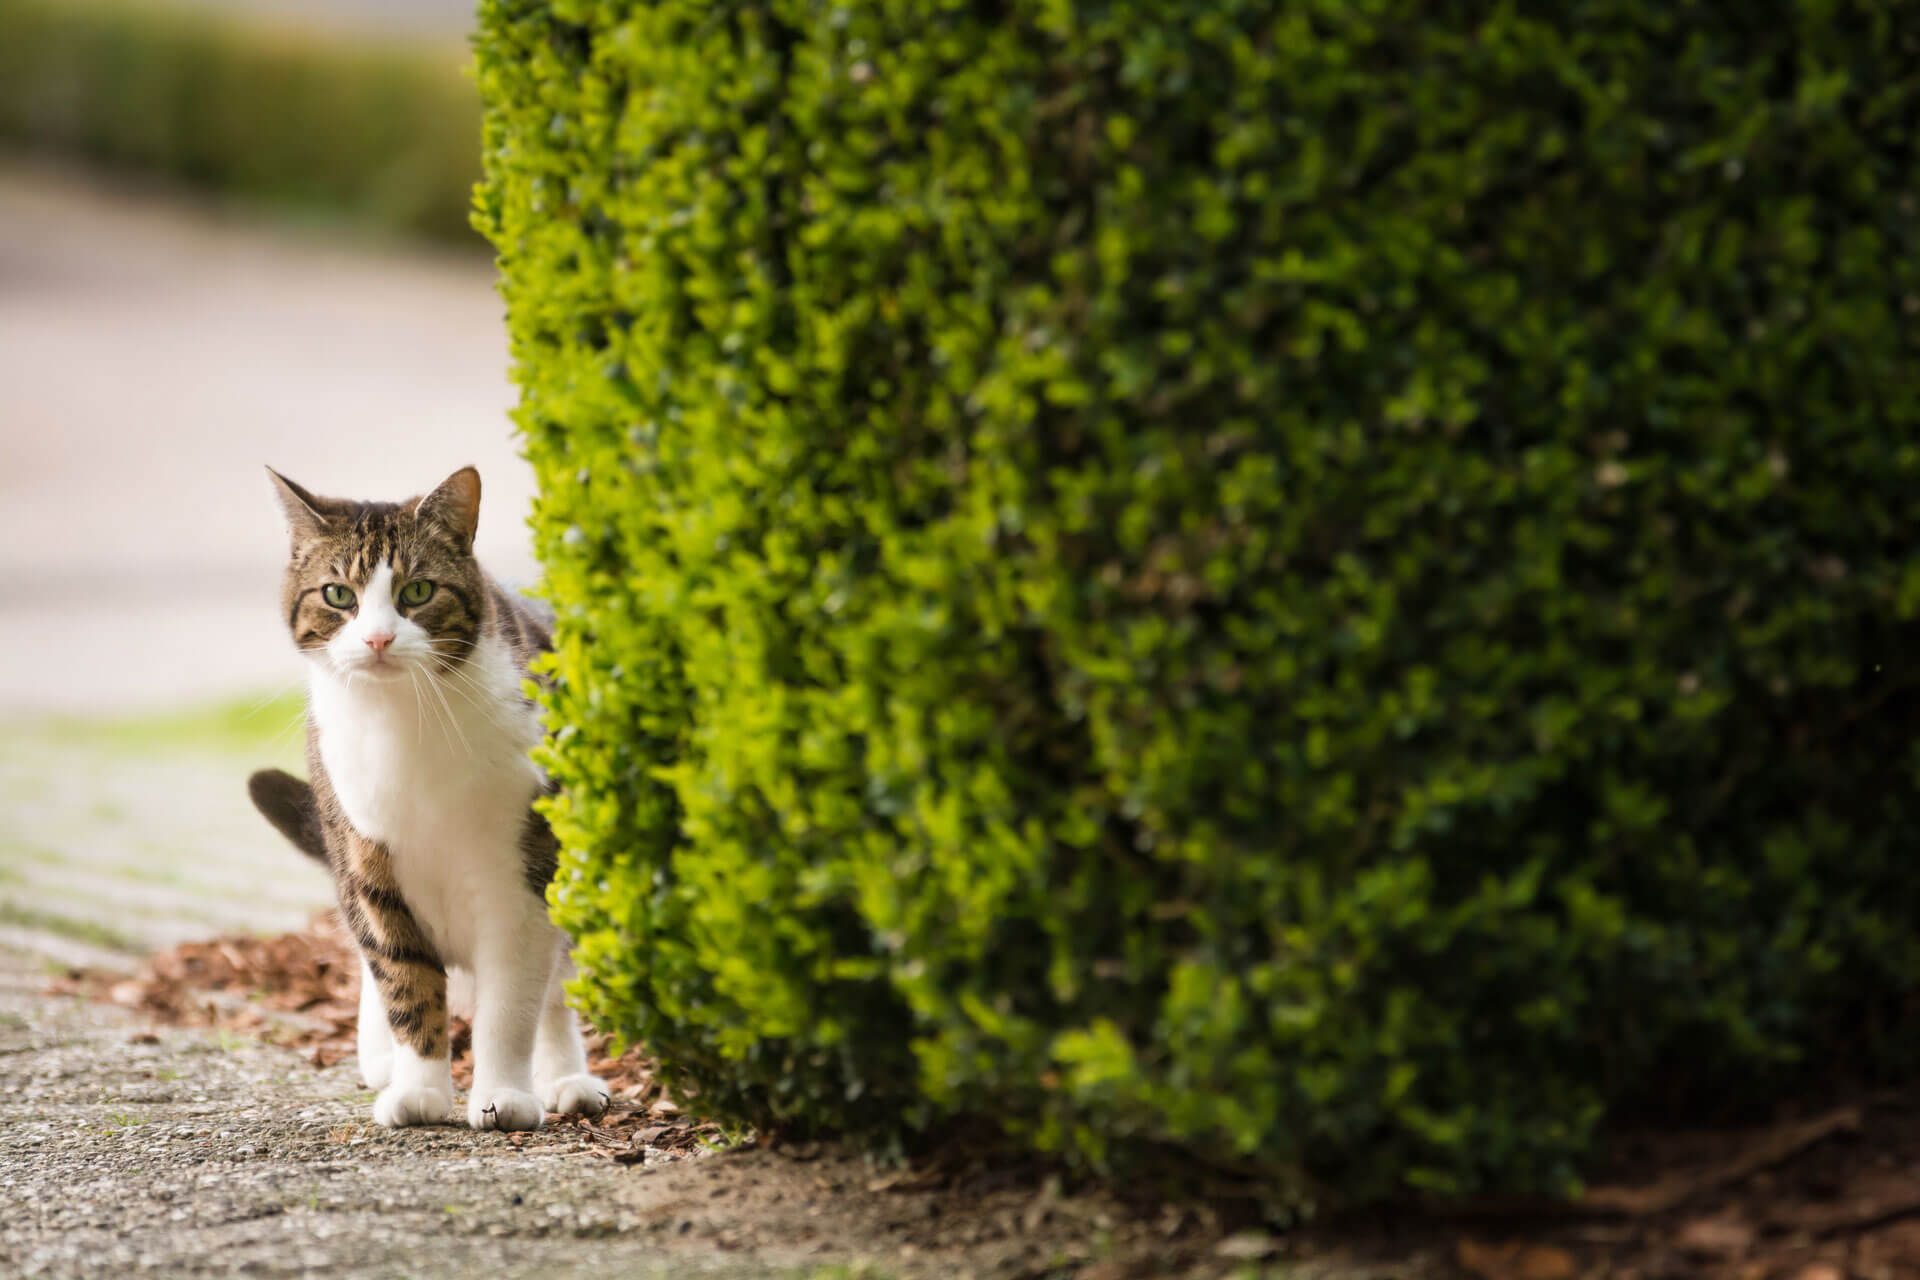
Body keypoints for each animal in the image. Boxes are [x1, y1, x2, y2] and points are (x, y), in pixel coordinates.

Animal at [247, 468, 606, 1128]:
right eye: (337, 595)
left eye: (417, 591)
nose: (378, 639)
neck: (406, 724)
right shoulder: (366, 863)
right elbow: (404, 982)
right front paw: (419, 1088)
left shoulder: (523, 873)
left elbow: (512, 1000)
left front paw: (504, 1094)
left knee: (556, 990)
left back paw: (566, 1078)